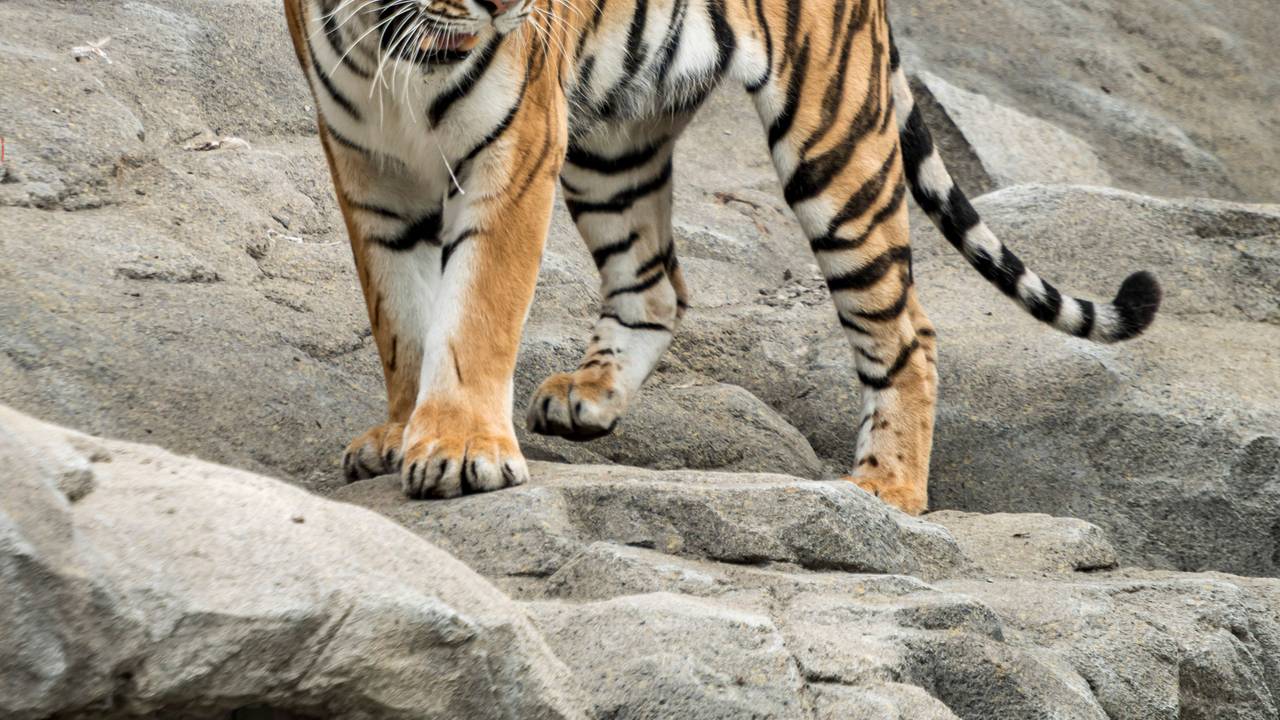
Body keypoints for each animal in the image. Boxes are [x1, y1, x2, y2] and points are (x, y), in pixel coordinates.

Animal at [283, 0, 1161, 515]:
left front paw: (462, 449)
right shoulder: (365, 168)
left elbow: (477, 315)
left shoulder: (517, 146)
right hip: (613, 145)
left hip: (832, 138)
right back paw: (589, 395)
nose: (503, 6)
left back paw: (887, 488)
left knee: (906, 329)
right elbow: (400, 318)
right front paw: (402, 431)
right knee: (655, 285)